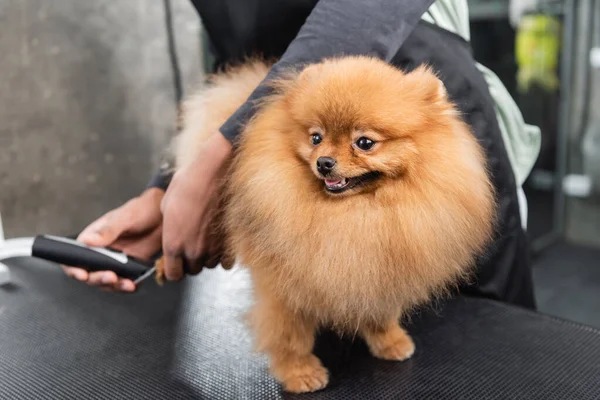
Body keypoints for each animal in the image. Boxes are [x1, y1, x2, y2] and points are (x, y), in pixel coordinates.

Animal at [168, 56, 492, 394]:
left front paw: (390, 341)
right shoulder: (282, 289)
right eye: (316, 138)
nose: (323, 162)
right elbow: (289, 335)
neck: (350, 213)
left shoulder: (379, 269)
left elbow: (380, 312)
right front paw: (299, 372)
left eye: (365, 143)